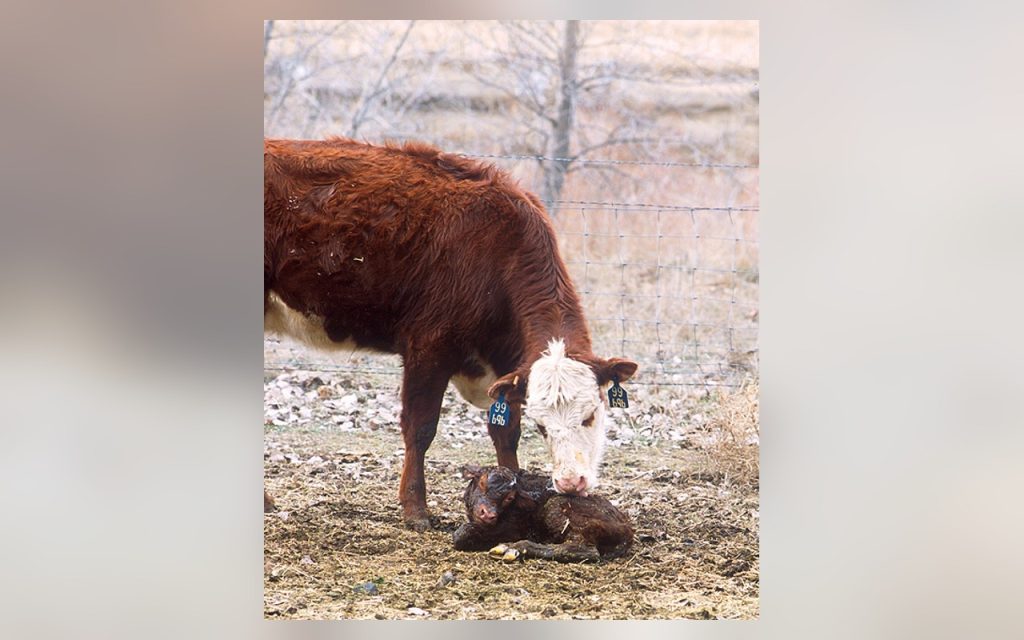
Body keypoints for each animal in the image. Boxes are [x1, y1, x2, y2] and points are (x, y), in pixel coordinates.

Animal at [264, 137, 638, 530]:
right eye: (543, 424)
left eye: (590, 414)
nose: (570, 482)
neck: (498, 253)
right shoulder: (428, 349)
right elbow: (420, 427)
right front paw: (415, 509)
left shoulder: (506, 371)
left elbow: (505, 433)